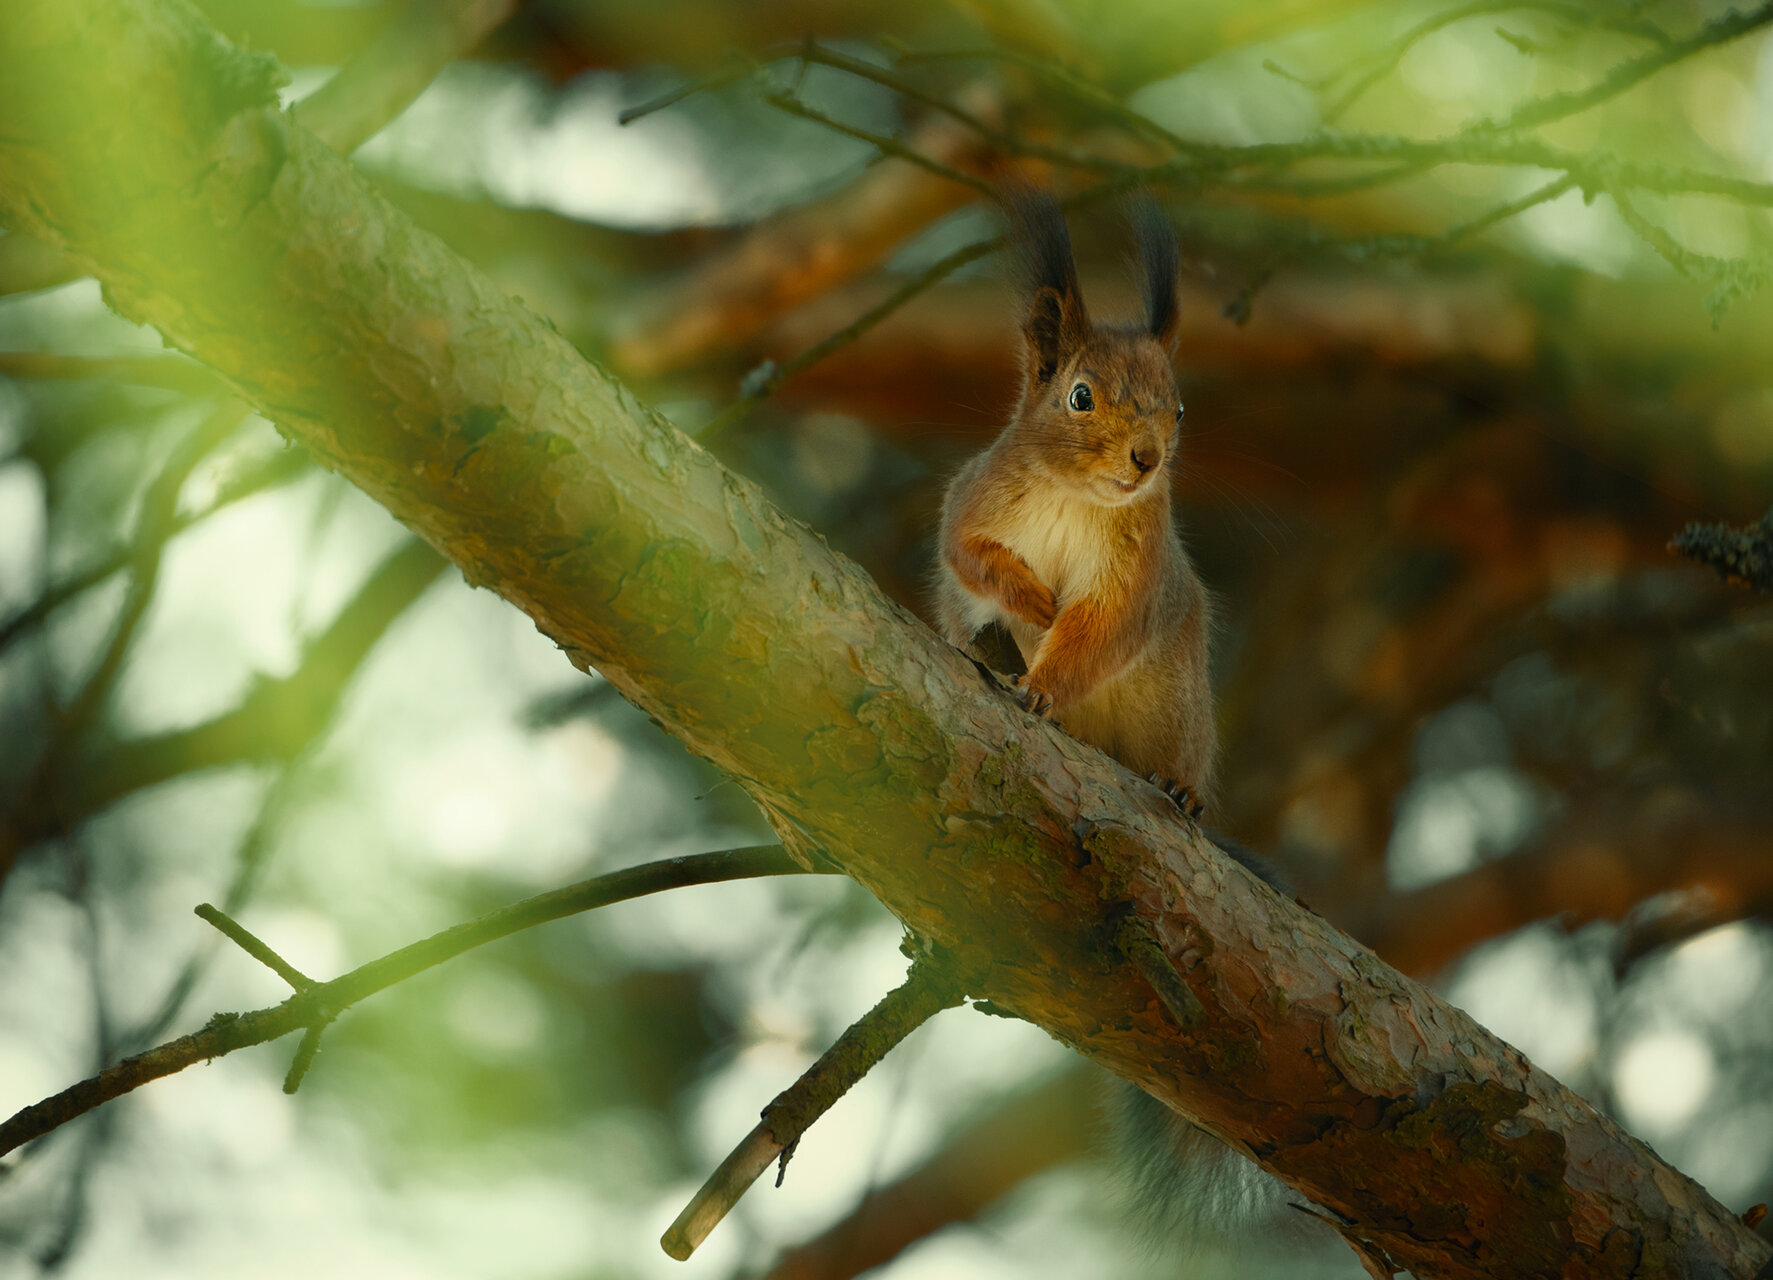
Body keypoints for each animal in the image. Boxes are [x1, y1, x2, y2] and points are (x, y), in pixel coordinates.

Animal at [929, 189, 1219, 808]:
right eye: (1080, 397)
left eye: (1180, 409)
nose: (1147, 457)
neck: (1075, 497)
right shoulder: (975, 496)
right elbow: (965, 551)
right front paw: (1033, 599)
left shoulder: (1138, 564)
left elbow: (1102, 627)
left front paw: (1042, 689)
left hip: (1181, 715)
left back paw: (1180, 789)